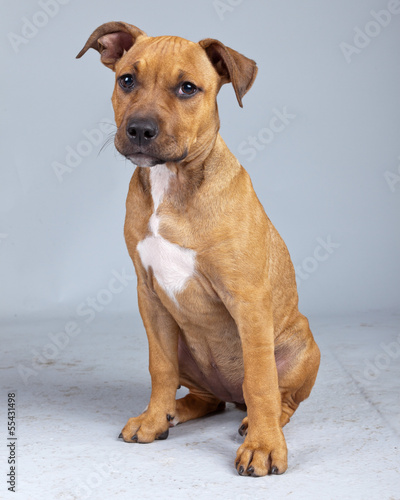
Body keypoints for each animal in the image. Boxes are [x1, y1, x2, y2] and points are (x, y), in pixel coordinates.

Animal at [77, 22, 318, 476]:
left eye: (187, 88)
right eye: (126, 80)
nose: (139, 130)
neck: (172, 182)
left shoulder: (248, 299)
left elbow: (261, 380)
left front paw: (263, 447)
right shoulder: (150, 296)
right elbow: (159, 367)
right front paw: (154, 419)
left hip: (301, 346)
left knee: (277, 398)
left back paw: (259, 423)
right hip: (186, 347)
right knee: (206, 397)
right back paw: (175, 411)